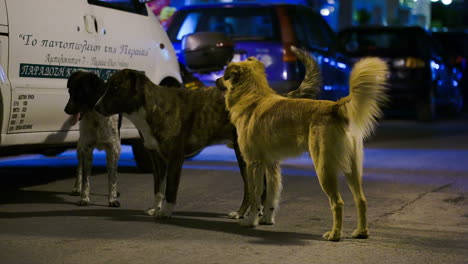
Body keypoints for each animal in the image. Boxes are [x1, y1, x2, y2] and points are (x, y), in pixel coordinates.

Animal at [65, 71, 121, 207]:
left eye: (80, 93)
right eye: (70, 92)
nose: (66, 110)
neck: (96, 116)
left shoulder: (113, 149)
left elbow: (113, 178)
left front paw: (112, 199)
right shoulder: (87, 148)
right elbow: (86, 177)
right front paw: (84, 198)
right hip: (80, 147)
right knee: (79, 167)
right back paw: (77, 188)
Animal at [216, 56, 388, 241]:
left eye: (225, 76)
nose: (215, 80)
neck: (252, 95)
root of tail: (334, 107)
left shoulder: (253, 163)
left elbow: (255, 196)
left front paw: (250, 221)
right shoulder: (271, 164)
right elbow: (271, 196)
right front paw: (267, 219)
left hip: (324, 168)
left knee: (337, 203)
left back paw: (334, 234)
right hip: (352, 169)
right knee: (361, 200)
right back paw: (361, 232)